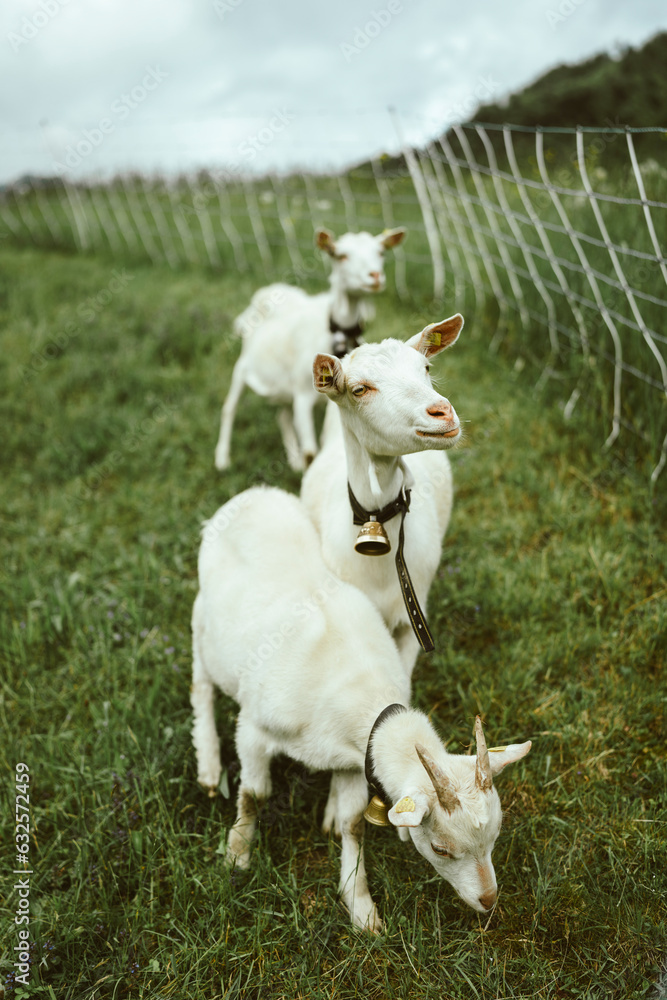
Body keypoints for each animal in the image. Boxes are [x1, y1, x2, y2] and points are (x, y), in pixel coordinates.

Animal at [191, 485, 531, 932]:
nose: (488, 900)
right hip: (202, 622)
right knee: (201, 681)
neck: (358, 688)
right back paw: (209, 763)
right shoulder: (253, 731)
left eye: (495, 836)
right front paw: (237, 855)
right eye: (440, 848)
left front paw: (362, 908)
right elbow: (254, 794)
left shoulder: (356, 761)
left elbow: (353, 824)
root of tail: (252, 493)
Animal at [214, 227, 405, 472]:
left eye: (381, 252)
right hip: (244, 365)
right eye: (340, 255)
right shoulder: (303, 395)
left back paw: (293, 460)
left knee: (283, 416)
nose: (374, 276)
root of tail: (268, 291)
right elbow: (311, 452)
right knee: (229, 407)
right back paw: (222, 459)